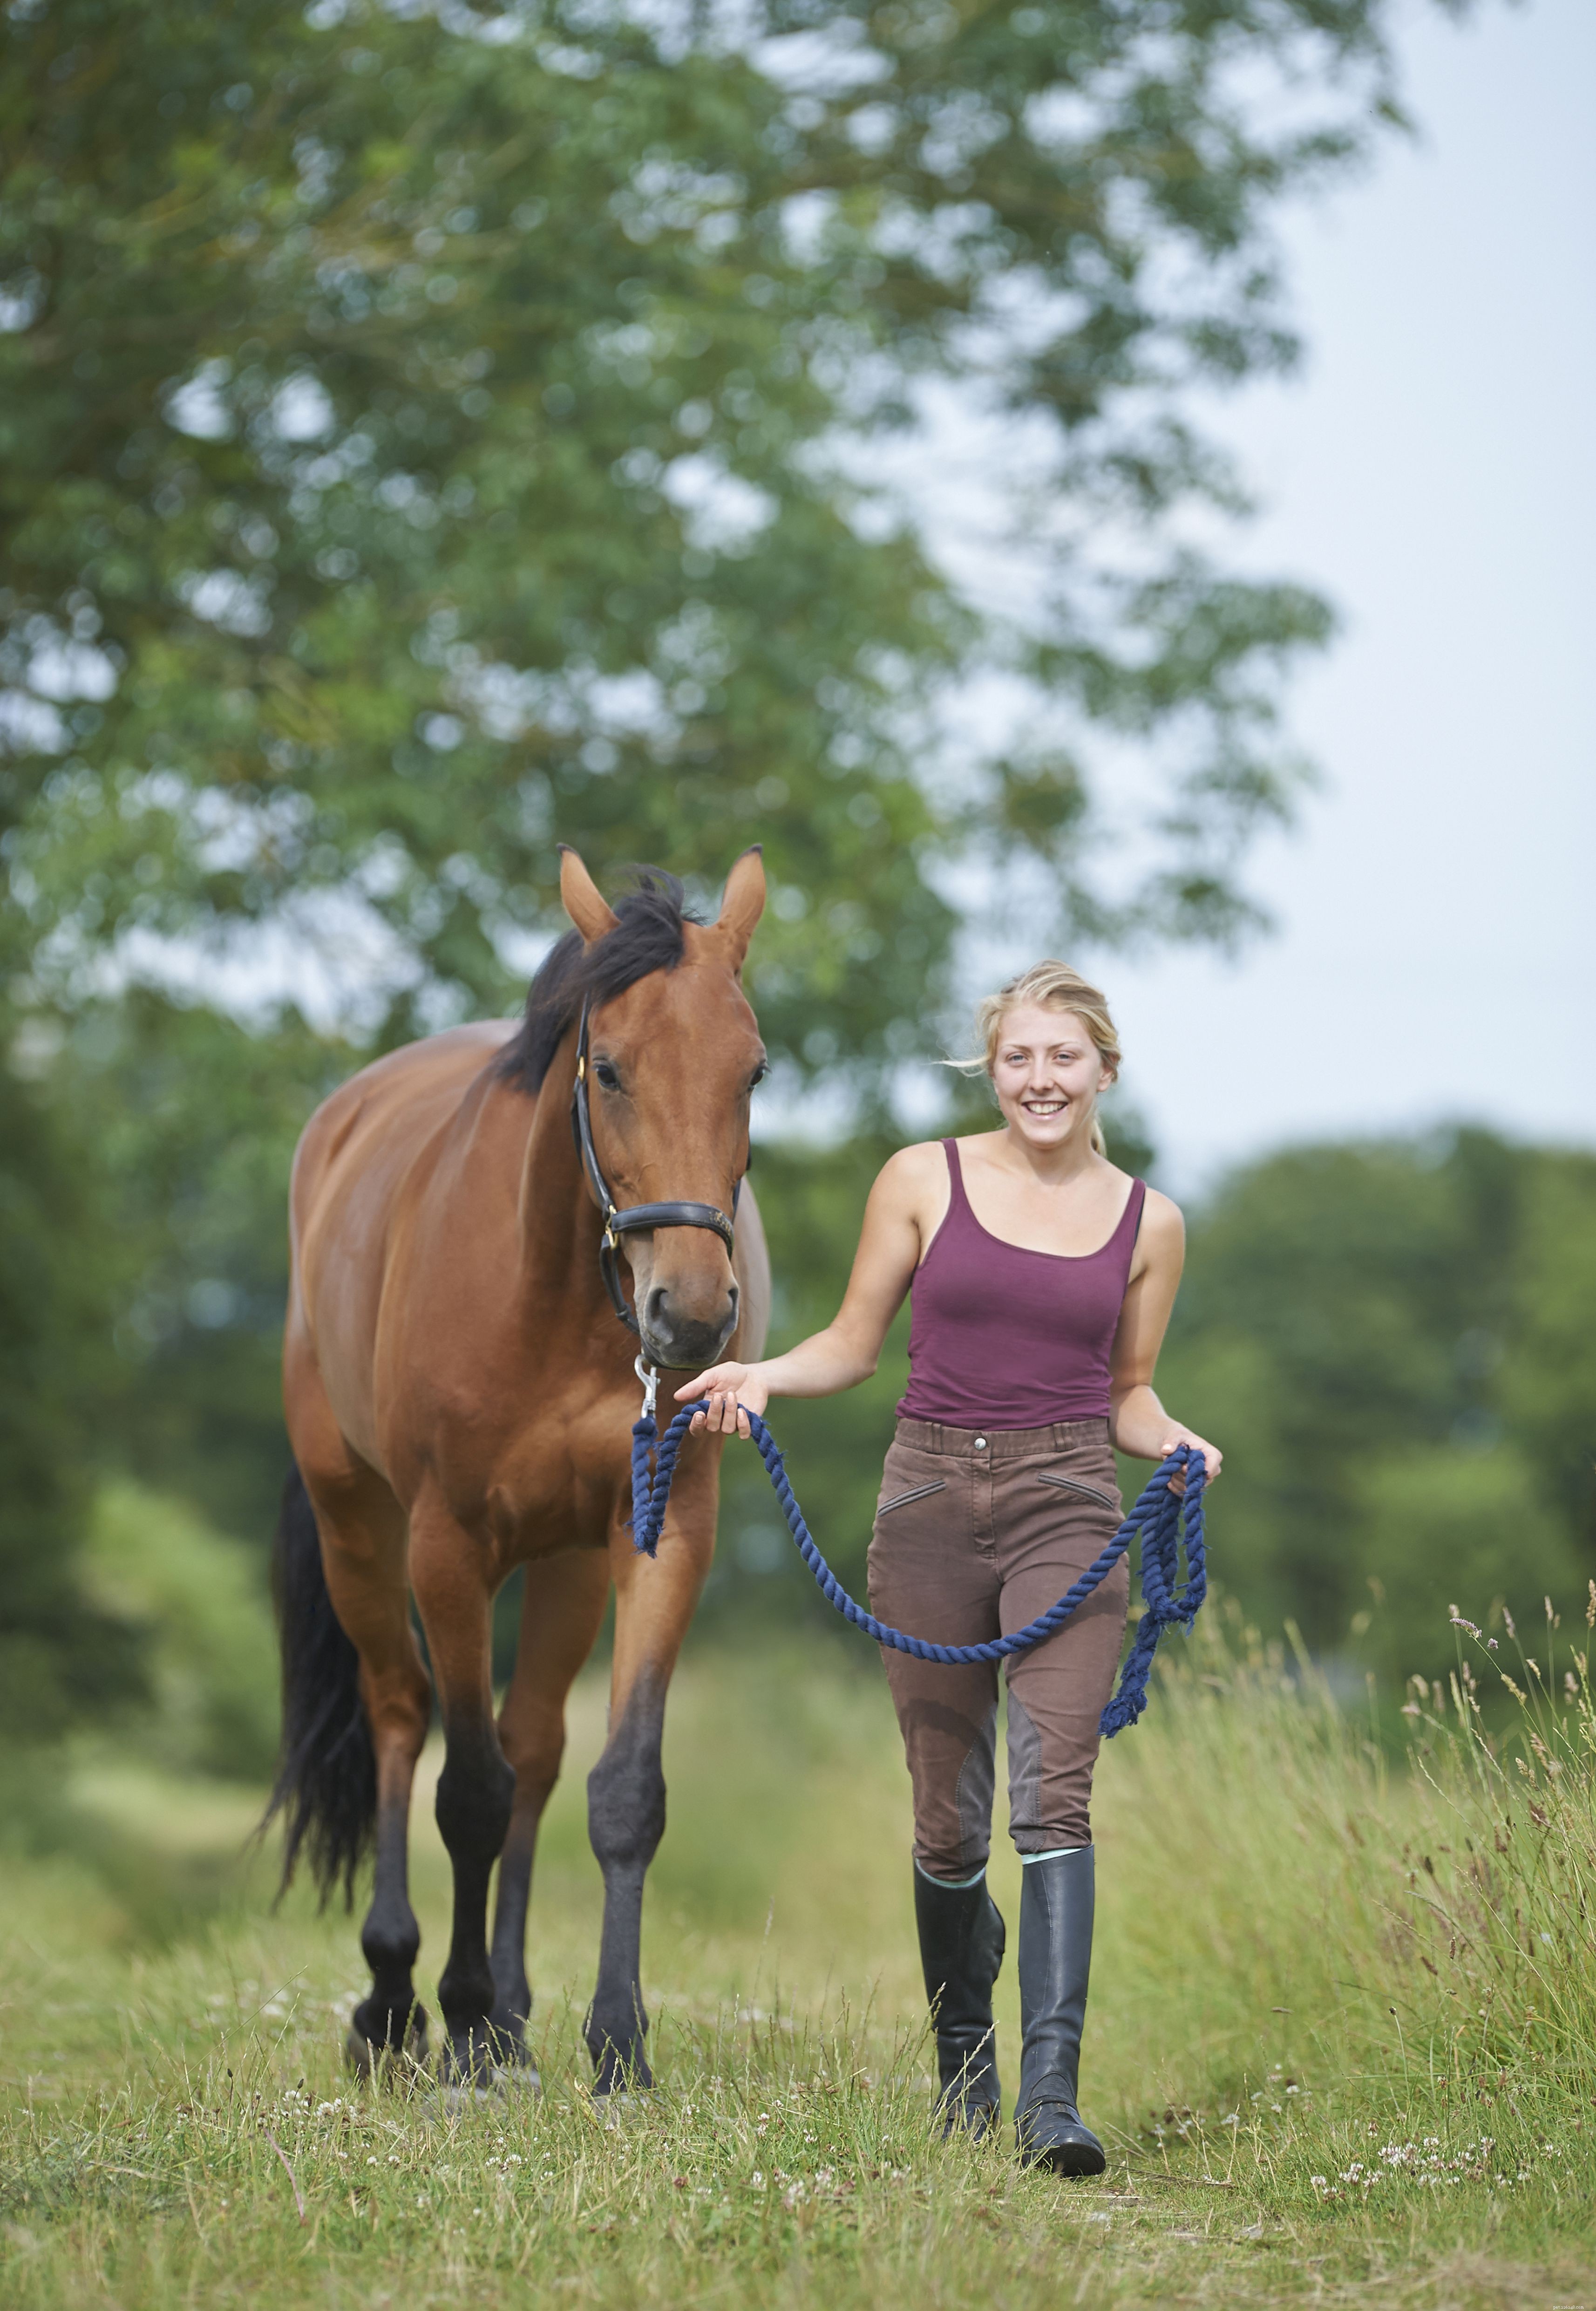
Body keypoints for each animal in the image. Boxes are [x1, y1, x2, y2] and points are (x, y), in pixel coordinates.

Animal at [265, 846, 771, 2093]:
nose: (692, 1314)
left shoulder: (661, 1535)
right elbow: (469, 1791)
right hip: (359, 1531)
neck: (555, 1297)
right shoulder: (447, 1547)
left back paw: (508, 2017)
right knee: (403, 1718)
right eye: (610, 1066)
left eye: (753, 1069)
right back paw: (399, 2001)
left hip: (567, 1563)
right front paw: (448, 2014)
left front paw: (617, 2041)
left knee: (536, 1745)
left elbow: (619, 1788)